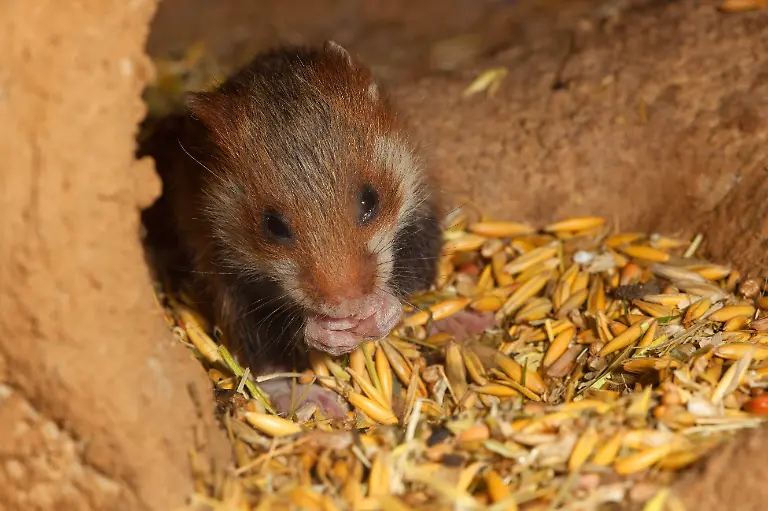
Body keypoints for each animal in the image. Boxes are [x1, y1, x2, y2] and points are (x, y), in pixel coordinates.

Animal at [141, 41, 442, 418]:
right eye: (272, 225)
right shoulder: (230, 280)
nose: (348, 309)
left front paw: (370, 317)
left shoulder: (424, 223)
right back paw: (322, 405)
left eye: (369, 199)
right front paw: (337, 333)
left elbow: (408, 283)